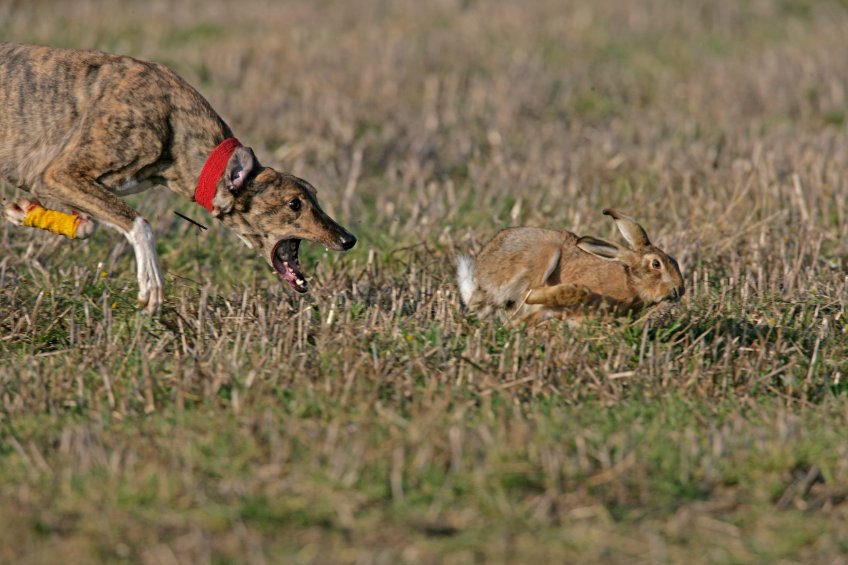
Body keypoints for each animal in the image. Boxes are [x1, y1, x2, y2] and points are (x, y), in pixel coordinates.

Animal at [0, 44, 358, 312]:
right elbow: (140, 223)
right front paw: (151, 286)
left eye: (314, 195)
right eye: (294, 204)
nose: (349, 239)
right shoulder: (59, 172)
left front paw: (26, 212)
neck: (174, 121)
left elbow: (89, 225)